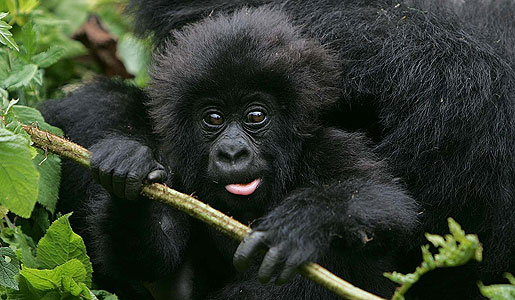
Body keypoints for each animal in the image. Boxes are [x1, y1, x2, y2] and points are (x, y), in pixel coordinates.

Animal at [42, 0, 512, 300]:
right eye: (213, 118)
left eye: (255, 116)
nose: (232, 152)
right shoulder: (176, 166)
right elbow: (154, 260)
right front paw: (129, 173)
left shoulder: (329, 149)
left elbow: (388, 205)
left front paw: (307, 221)